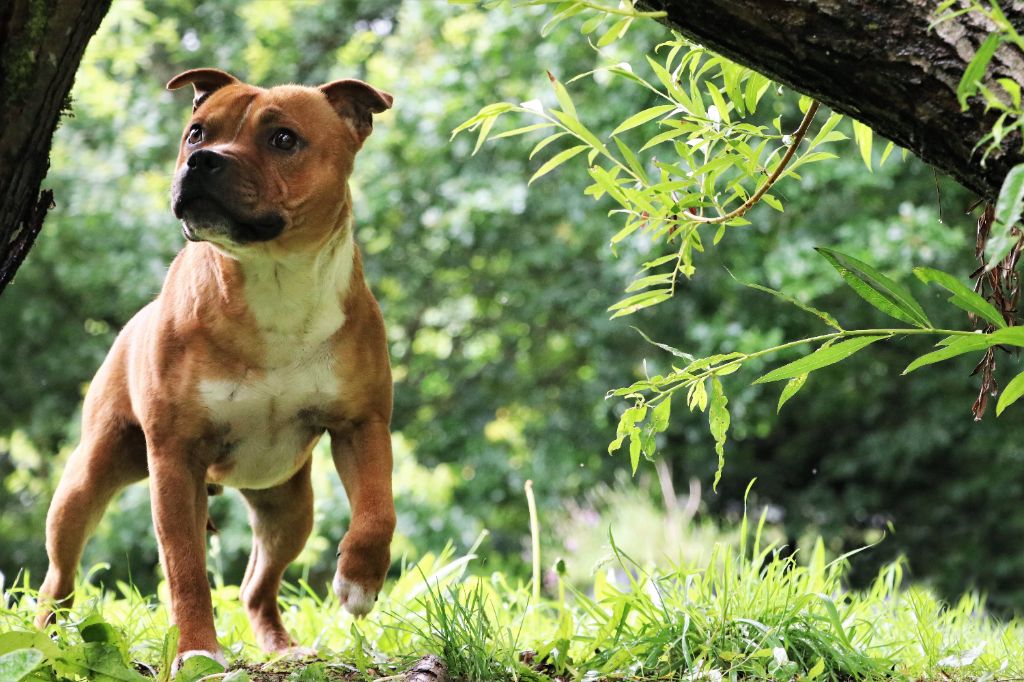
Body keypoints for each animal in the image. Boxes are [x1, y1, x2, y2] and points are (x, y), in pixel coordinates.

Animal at [37, 69, 395, 663]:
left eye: (283, 139)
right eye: (197, 132)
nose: (203, 161)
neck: (276, 283)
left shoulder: (362, 426)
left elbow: (378, 510)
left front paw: (360, 581)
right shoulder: (175, 457)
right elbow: (185, 568)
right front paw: (199, 652)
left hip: (288, 509)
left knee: (257, 585)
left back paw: (282, 647)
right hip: (86, 482)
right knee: (59, 575)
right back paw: (48, 633)